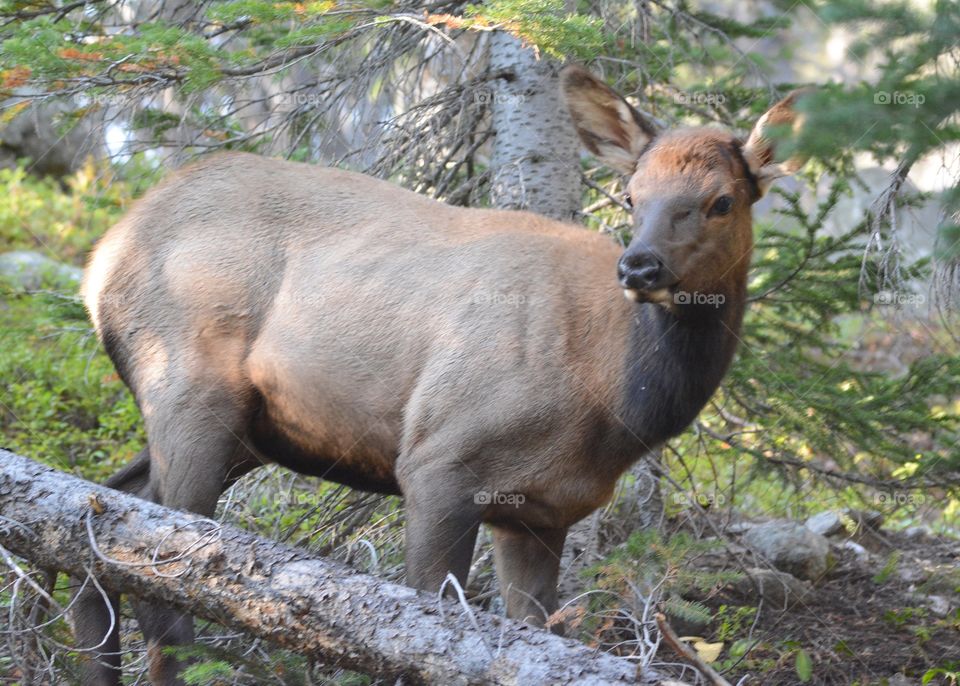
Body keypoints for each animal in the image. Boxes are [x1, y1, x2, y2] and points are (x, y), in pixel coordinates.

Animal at [74, 65, 809, 685]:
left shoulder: (540, 512)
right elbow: (419, 639)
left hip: (243, 431)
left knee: (102, 529)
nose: (639, 266)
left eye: (721, 201)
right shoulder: (439, 462)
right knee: (158, 582)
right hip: (188, 384)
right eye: (631, 195)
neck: (614, 397)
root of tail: (99, 260)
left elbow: (535, 633)